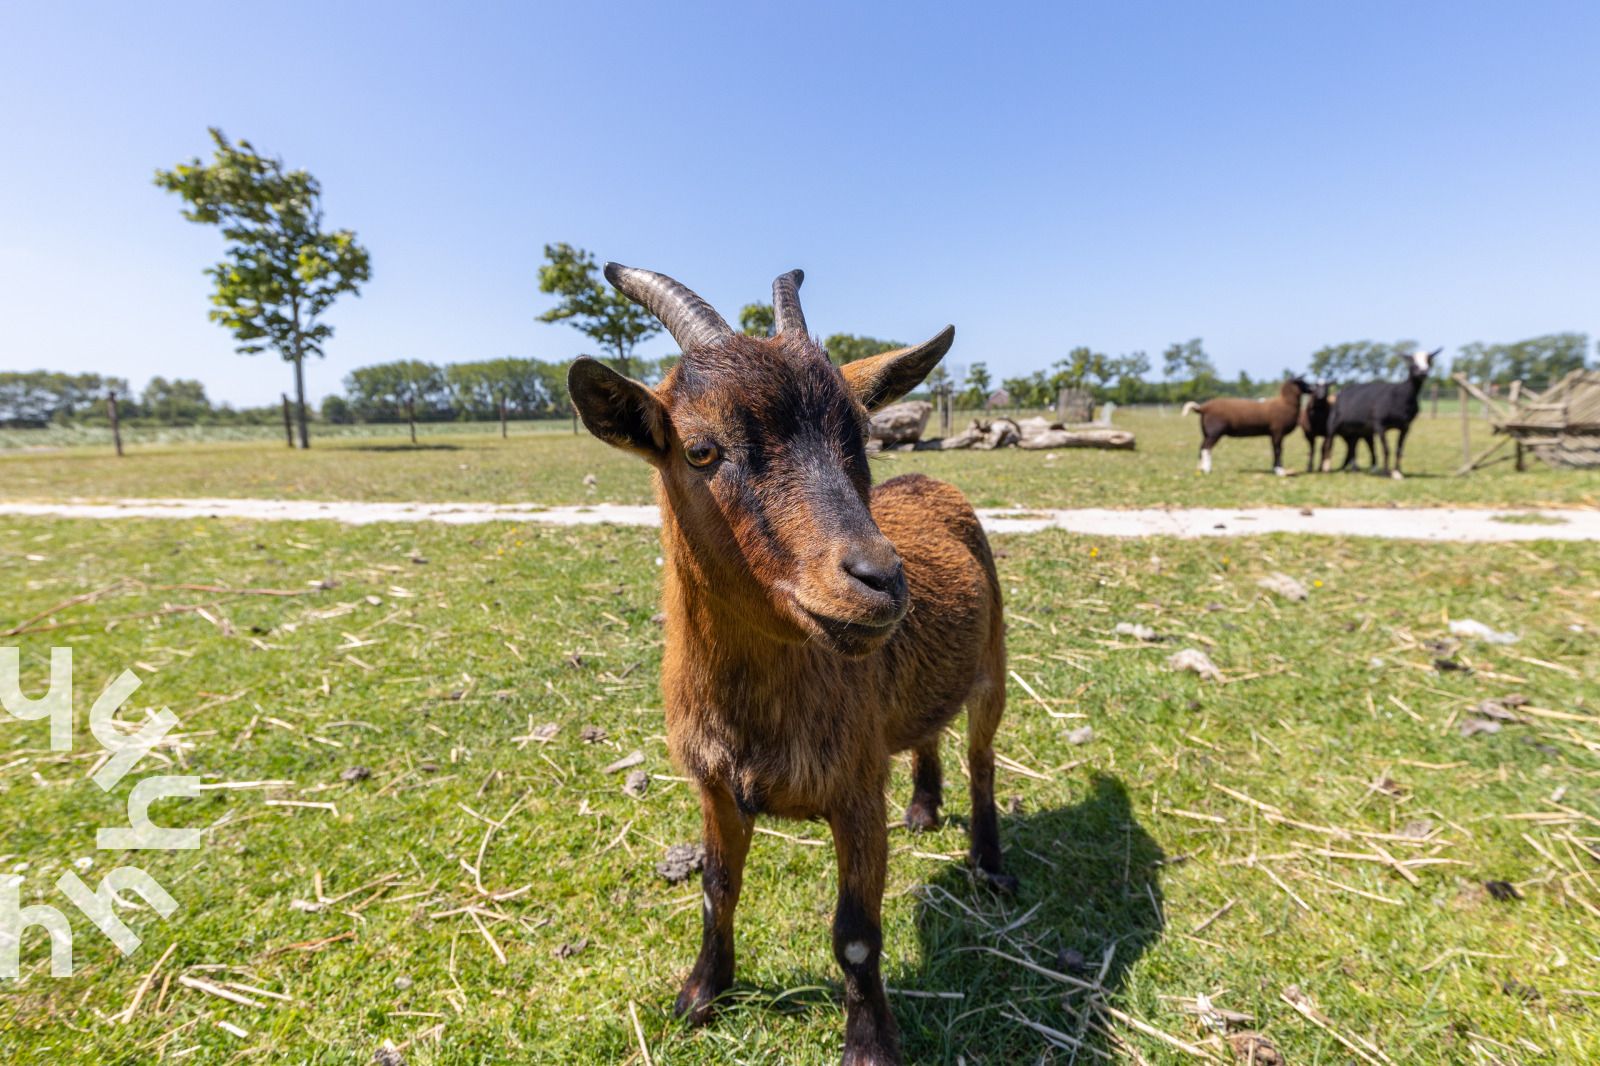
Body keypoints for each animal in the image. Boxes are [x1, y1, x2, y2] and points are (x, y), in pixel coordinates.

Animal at [568, 263, 1008, 1066]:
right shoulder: (714, 785)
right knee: (927, 732)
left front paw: (870, 1044)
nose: (878, 580)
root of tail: (931, 482)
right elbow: (716, 889)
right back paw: (924, 810)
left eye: (861, 436)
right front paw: (700, 994)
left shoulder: (855, 791)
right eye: (700, 450)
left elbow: (857, 935)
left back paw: (990, 865)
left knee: (983, 759)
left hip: (994, 664)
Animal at [1182, 377, 1311, 476]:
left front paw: (1276, 469)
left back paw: (1201, 469)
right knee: (1206, 448)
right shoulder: (1277, 432)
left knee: (1201, 448)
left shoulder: (1273, 434)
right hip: (1214, 432)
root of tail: (1203, 408)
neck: (1285, 403)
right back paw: (1207, 470)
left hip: (1206, 433)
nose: (1313, 389)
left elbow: (1275, 450)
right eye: (1303, 383)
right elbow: (1278, 451)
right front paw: (1280, 471)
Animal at [1320, 349, 1441, 478]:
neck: (1401, 395)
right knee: (1329, 443)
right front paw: (1386, 473)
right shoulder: (1379, 424)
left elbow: (1399, 449)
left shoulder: (1406, 426)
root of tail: (1340, 392)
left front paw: (1397, 472)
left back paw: (1355, 469)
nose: (1423, 372)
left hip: (1356, 429)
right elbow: (1386, 449)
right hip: (1333, 423)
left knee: (1352, 445)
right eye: (1411, 361)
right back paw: (1327, 469)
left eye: (1429, 360)